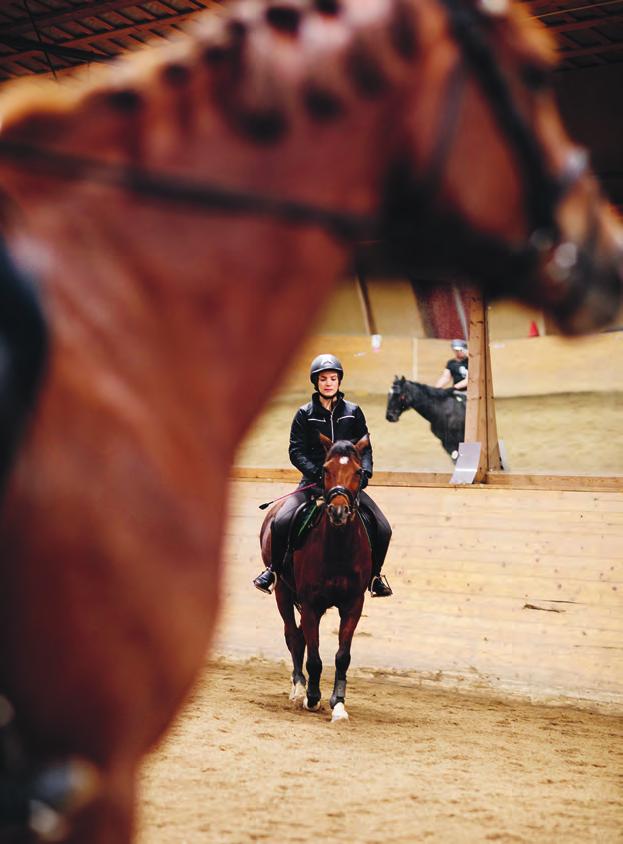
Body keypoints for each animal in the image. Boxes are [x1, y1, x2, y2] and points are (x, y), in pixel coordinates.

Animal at [260, 438, 372, 724]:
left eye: (359, 471)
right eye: (325, 469)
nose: (339, 512)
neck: (338, 547)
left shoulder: (353, 605)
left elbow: (342, 656)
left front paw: (338, 704)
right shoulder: (310, 604)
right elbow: (314, 657)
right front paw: (312, 698)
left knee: (300, 635)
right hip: (284, 592)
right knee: (293, 635)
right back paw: (299, 687)